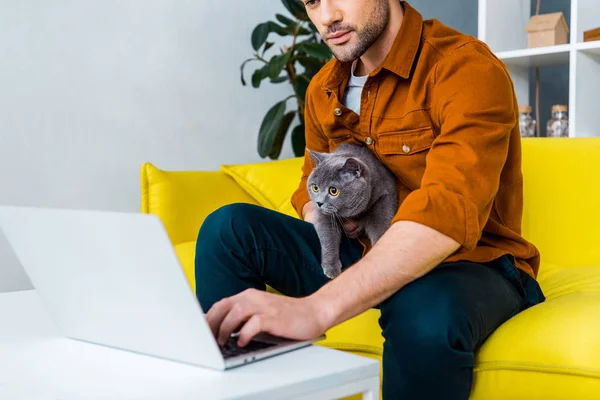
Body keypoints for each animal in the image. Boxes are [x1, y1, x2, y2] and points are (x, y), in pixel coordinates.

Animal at [310, 143, 398, 278]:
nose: (319, 203)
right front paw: (331, 267)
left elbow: (380, 227)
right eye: (315, 188)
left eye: (333, 190)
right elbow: (327, 236)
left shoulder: (383, 197)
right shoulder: (323, 214)